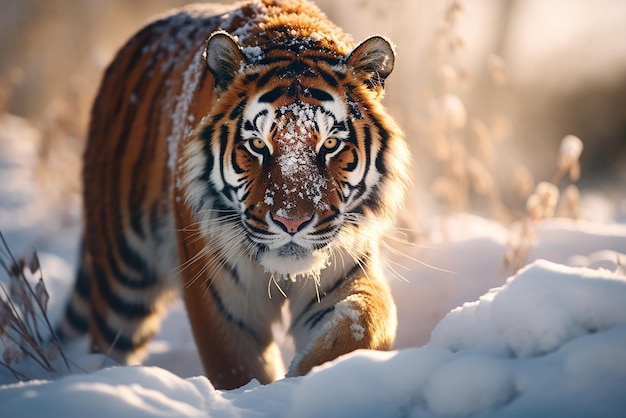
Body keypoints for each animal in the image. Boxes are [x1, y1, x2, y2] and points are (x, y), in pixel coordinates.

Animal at [57, 0, 410, 392]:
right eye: (257, 145)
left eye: (330, 144)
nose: (292, 222)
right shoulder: (221, 303)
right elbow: (237, 369)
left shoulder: (345, 271)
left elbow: (362, 326)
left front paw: (303, 379)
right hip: (122, 277)